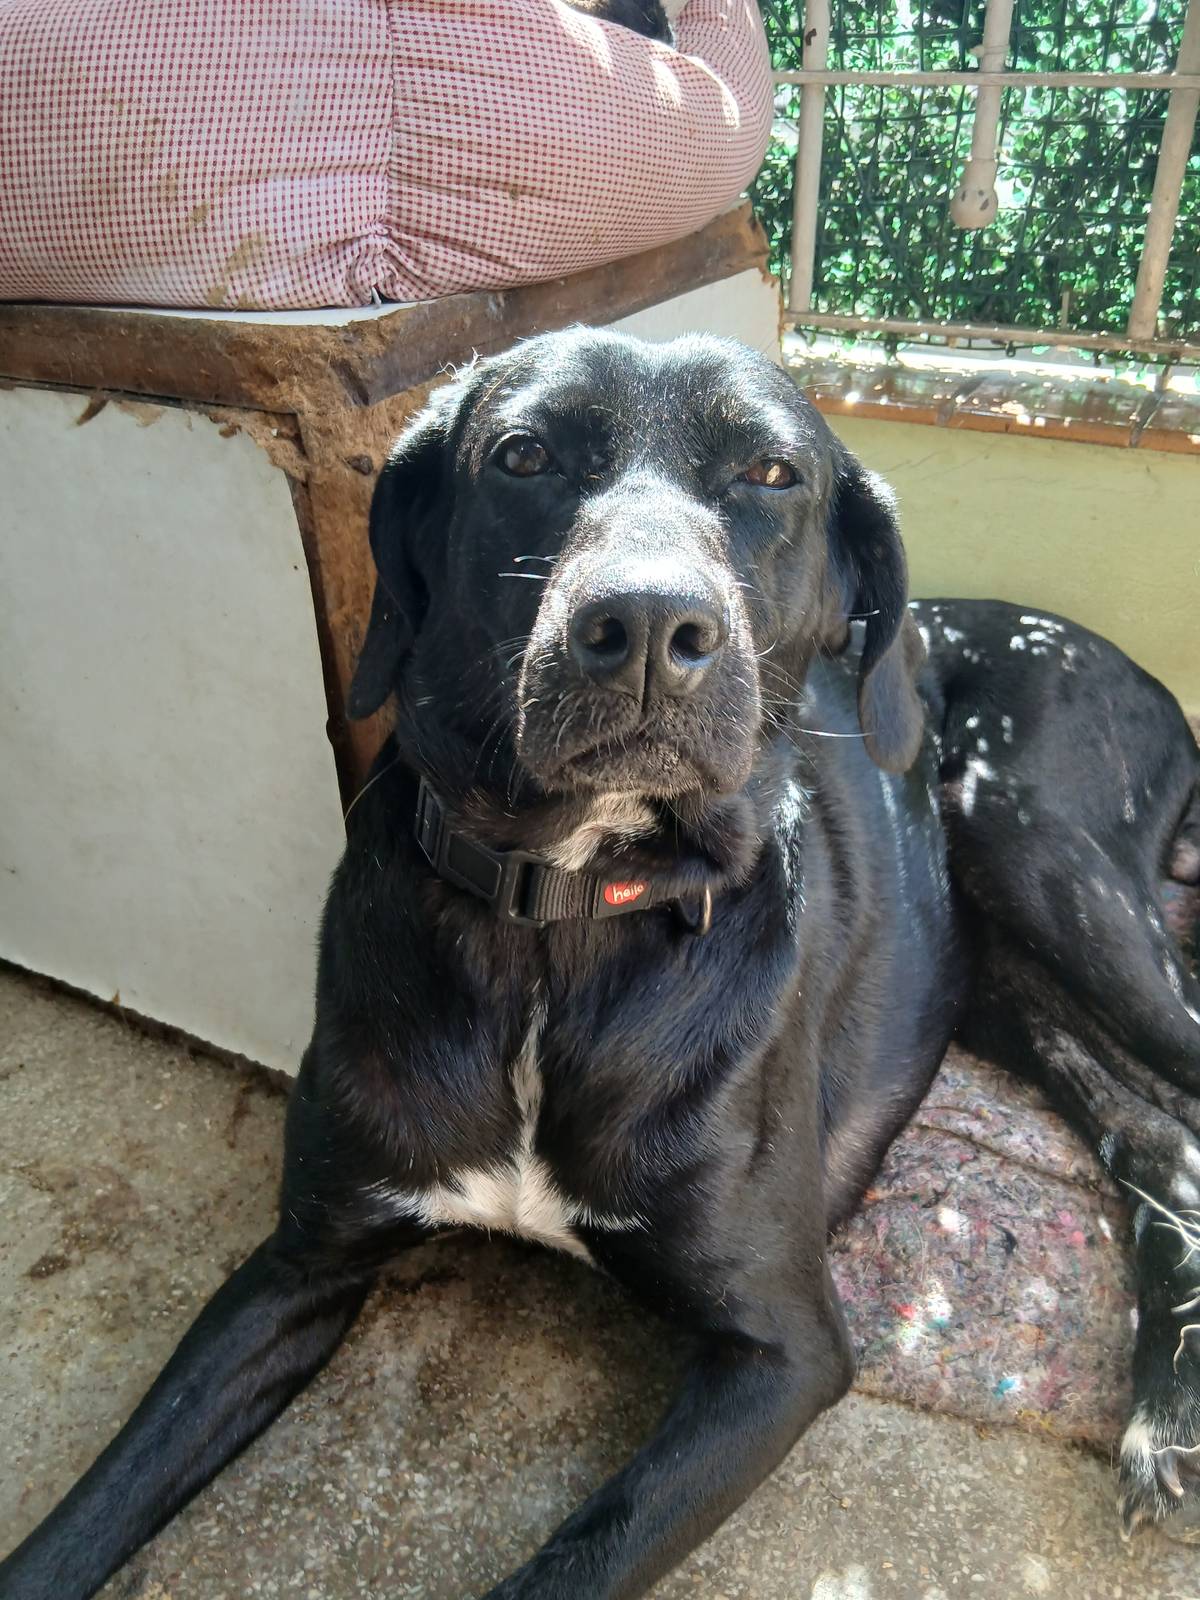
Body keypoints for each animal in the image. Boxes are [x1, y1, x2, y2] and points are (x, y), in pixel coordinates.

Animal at [2, 329, 1199, 1598]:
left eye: (773, 473)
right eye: (524, 454)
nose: (647, 630)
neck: (561, 915)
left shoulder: (784, 1350)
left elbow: (573, 1562)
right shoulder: (295, 1263)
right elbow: (95, 1503)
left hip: (1040, 856)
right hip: (994, 973)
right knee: (1158, 1137)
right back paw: (1162, 1415)